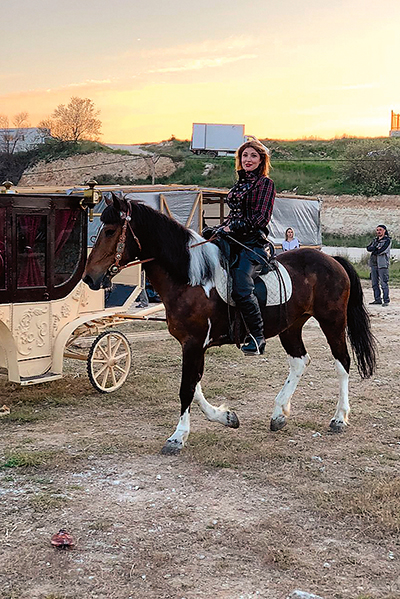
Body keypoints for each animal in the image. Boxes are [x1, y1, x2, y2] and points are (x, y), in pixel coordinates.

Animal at [83, 196, 376, 454]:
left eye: (110, 231)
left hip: (332, 321)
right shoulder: (193, 345)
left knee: (342, 362)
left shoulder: (194, 343)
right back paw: (279, 414)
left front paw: (177, 437)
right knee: (300, 361)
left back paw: (339, 418)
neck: (190, 278)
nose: (89, 278)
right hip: (291, 326)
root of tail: (332, 260)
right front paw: (225, 417)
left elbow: (186, 388)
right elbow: (195, 386)